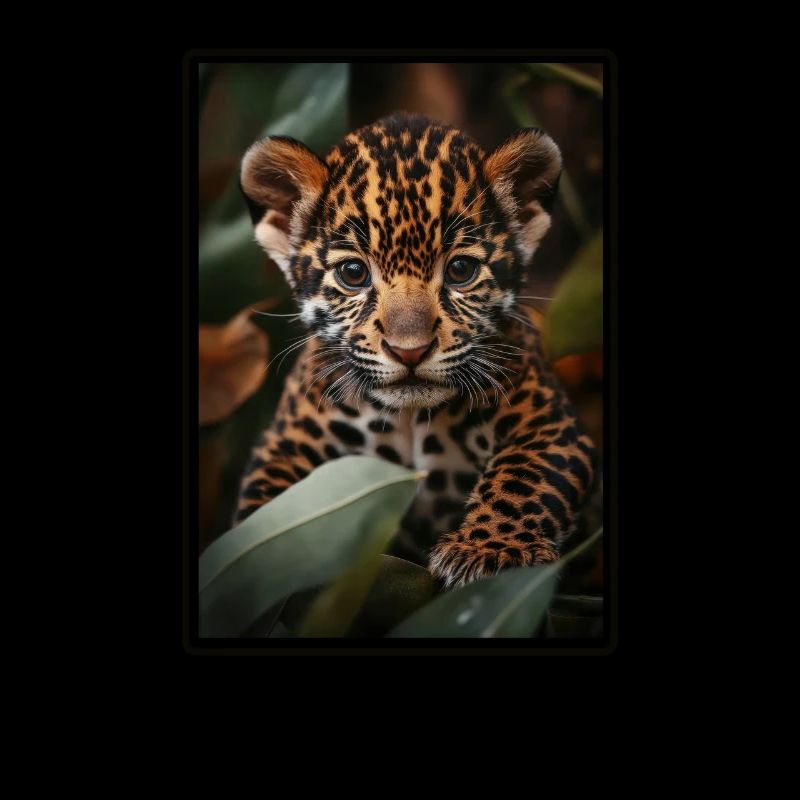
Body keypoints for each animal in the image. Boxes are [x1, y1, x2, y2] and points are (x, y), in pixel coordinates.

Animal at [235, 112, 597, 589]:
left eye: (461, 270)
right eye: (353, 273)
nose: (410, 351)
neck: (409, 417)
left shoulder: (549, 420)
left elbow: (525, 476)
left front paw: (491, 551)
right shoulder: (287, 442)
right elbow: (269, 512)